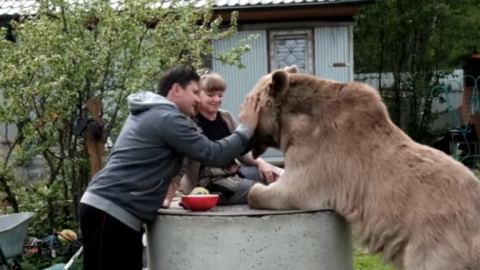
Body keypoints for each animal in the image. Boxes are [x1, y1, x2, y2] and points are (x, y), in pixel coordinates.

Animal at [246, 65, 480, 270]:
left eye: (248, 100)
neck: (294, 123)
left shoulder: (320, 152)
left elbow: (293, 190)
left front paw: (256, 189)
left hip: (437, 240)